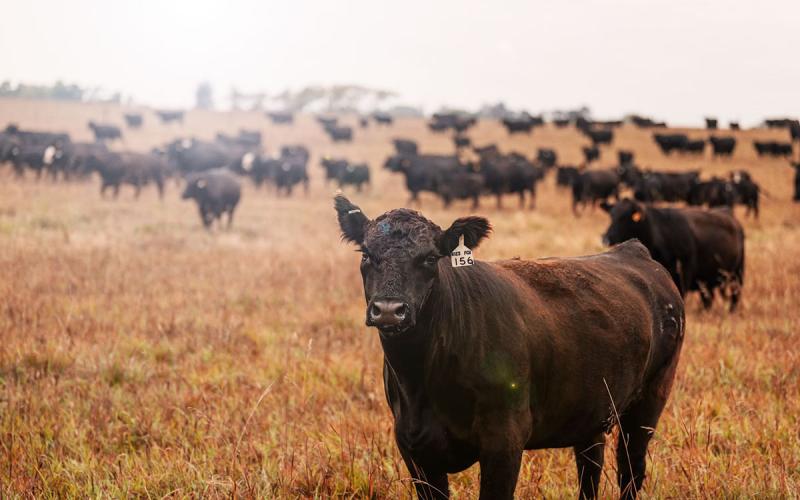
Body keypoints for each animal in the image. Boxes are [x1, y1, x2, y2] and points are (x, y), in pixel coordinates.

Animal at [334, 194, 684, 500]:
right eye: (366, 255)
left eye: (430, 258)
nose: (389, 309)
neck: (421, 379)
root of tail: (633, 250)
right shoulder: (414, 447)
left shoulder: (504, 441)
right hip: (592, 407)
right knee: (590, 467)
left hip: (650, 399)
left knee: (631, 469)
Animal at [601, 199, 744, 311]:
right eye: (611, 216)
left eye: (624, 218)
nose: (606, 237)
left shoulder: (685, 272)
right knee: (708, 298)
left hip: (737, 274)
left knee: (735, 296)